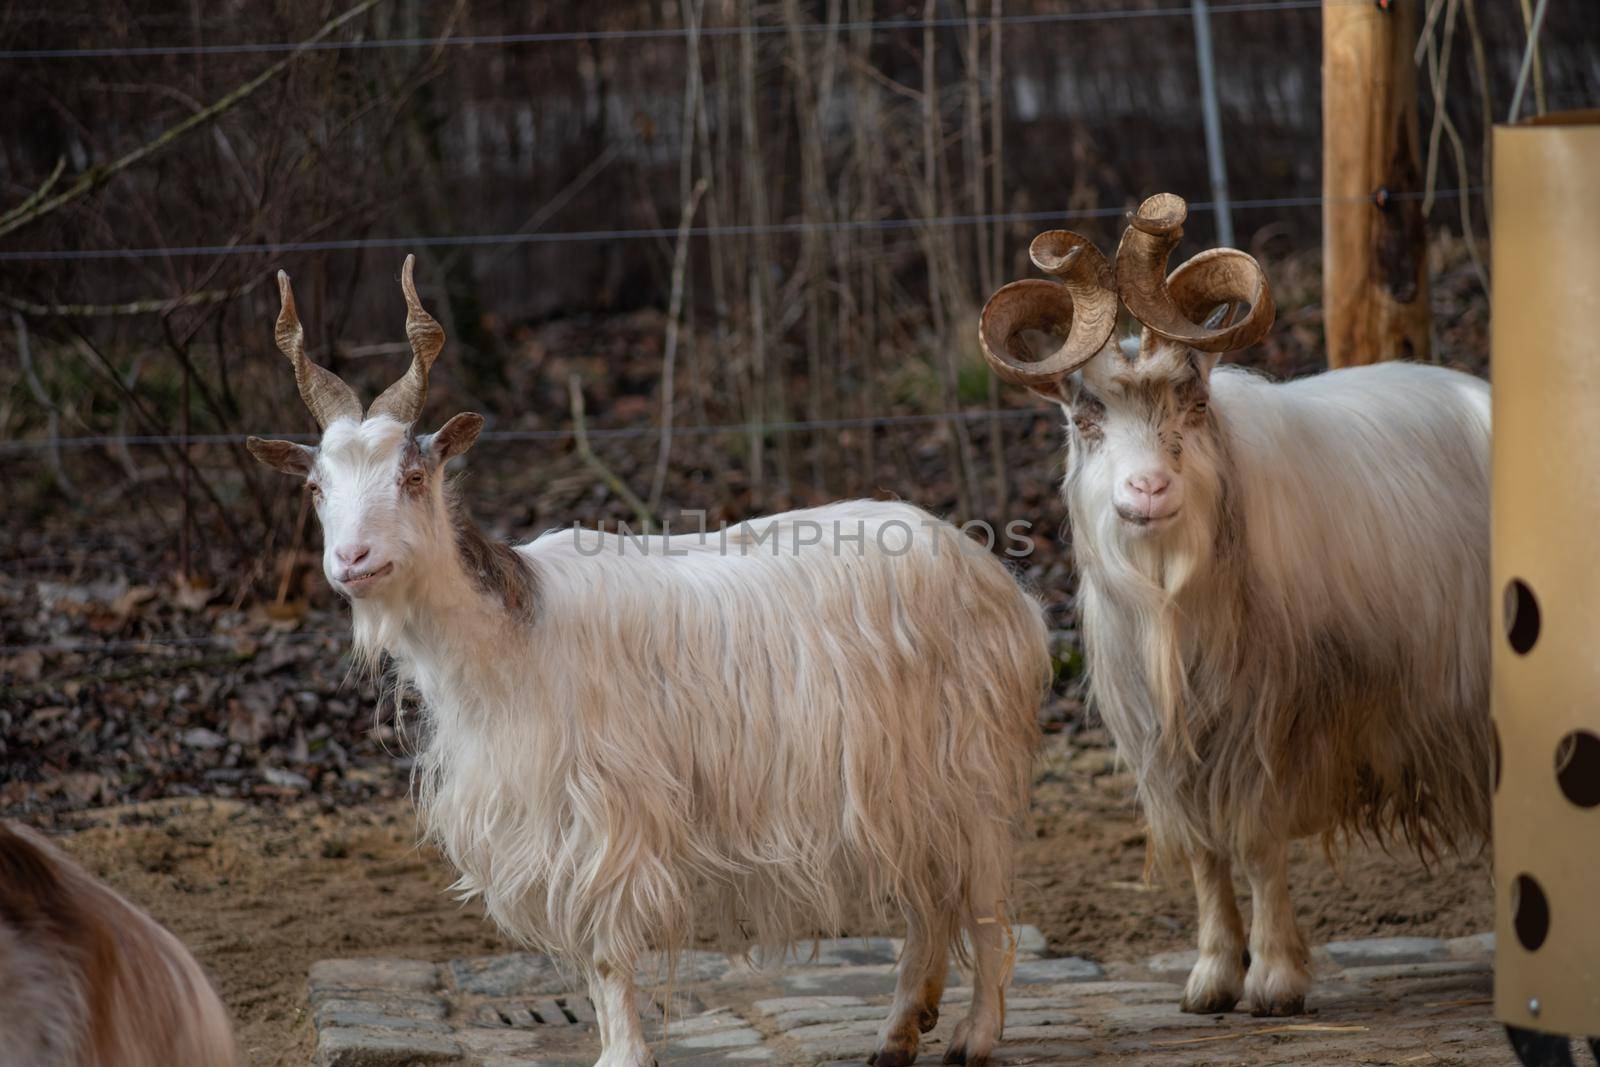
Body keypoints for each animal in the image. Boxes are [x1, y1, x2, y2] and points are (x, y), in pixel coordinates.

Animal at [246, 255, 1049, 1067]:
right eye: (315, 487)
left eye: (412, 478)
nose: (352, 560)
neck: (508, 641)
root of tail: (991, 574)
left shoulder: (607, 809)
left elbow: (605, 948)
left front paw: (625, 1053)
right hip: (902, 783)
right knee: (930, 899)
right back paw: (898, 1030)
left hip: (969, 768)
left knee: (983, 901)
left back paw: (974, 1035)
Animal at [979, 195, 1491, 1023]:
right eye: (1086, 419)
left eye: (1192, 402)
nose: (1148, 490)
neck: (1174, 601)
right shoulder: (1166, 739)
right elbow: (1203, 853)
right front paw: (1213, 976)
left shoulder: (1271, 722)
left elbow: (1254, 842)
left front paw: (1276, 978)